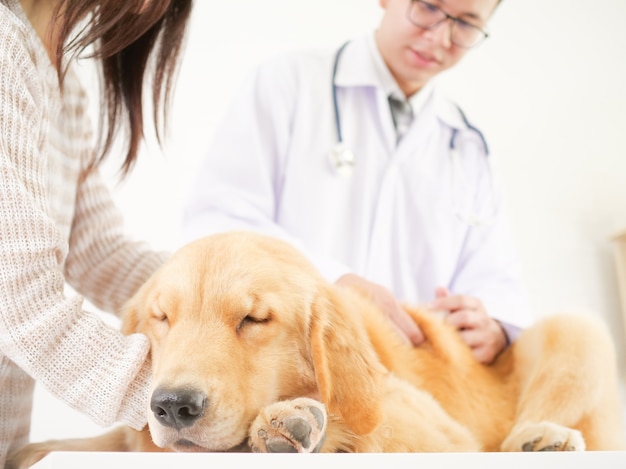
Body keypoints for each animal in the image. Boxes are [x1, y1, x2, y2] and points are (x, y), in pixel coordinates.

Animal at [9, 229, 624, 464]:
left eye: (253, 319)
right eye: (163, 319)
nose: (172, 406)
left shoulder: (437, 429)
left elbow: (368, 419)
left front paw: (291, 422)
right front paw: (30, 450)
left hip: (577, 329)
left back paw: (540, 439)